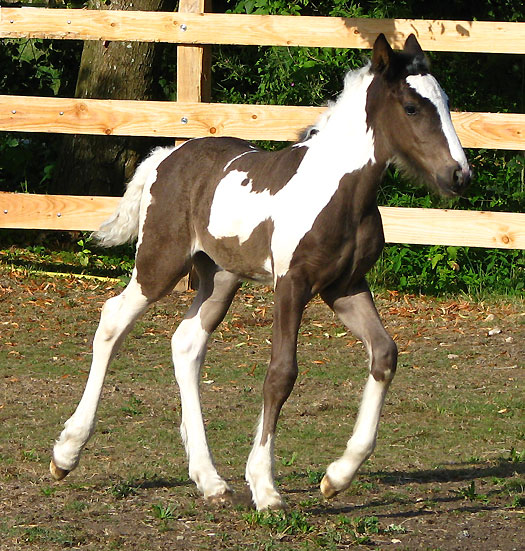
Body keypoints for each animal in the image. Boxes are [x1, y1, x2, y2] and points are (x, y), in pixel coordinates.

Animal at [51, 33, 468, 508]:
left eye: (447, 102)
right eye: (412, 107)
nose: (460, 175)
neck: (336, 190)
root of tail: (165, 157)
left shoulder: (345, 287)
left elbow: (384, 354)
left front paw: (337, 476)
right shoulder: (292, 285)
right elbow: (281, 374)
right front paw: (265, 486)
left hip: (219, 278)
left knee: (186, 344)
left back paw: (210, 479)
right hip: (159, 264)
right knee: (112, 321)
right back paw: (66, 454)